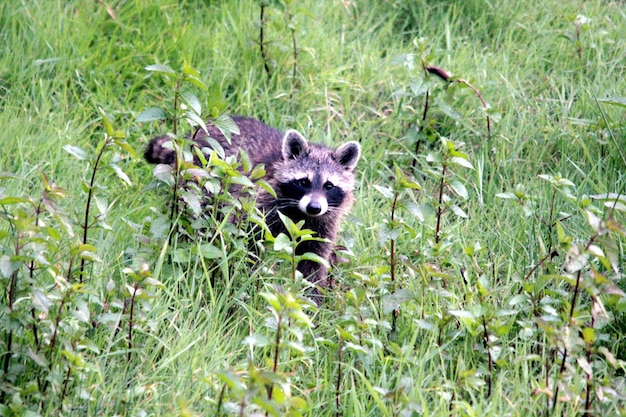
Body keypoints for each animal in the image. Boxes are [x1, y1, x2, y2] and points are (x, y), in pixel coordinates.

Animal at [145, 117, 360, 298]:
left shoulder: (323, 224)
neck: (299, 212)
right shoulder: (260, 203)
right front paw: (248, 279)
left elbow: (314, 260)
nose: (314, 207)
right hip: (196, 179)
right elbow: (251, 243)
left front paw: (312, 298)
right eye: (304, 182)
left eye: (329, 186)